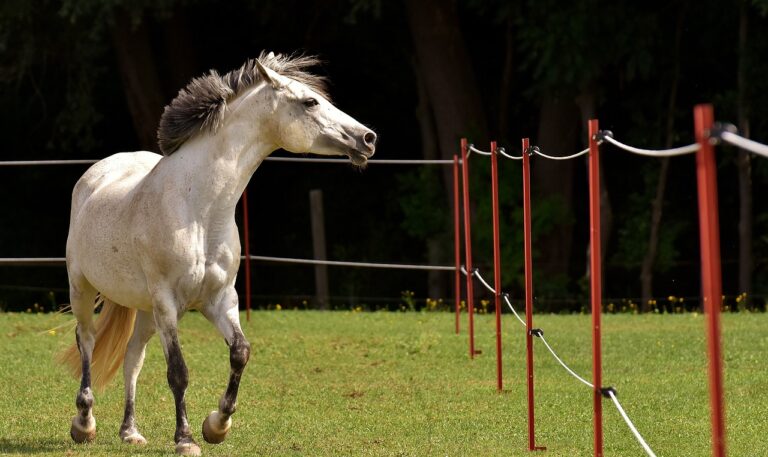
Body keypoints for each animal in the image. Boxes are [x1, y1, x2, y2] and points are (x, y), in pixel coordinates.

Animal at [60, 51, 376, 454]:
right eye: (310, 102)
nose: (367, 138)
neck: (199, 209)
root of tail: (98, 173)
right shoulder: (168, 303)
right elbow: (178, 372)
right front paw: (186, 439)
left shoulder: (221, 298)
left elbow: (240, 352)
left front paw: (217, 425)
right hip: (83, 288)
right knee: (86, 341)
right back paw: (84, 423)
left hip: (144, 309)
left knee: (133, 358)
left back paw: (130, 431)